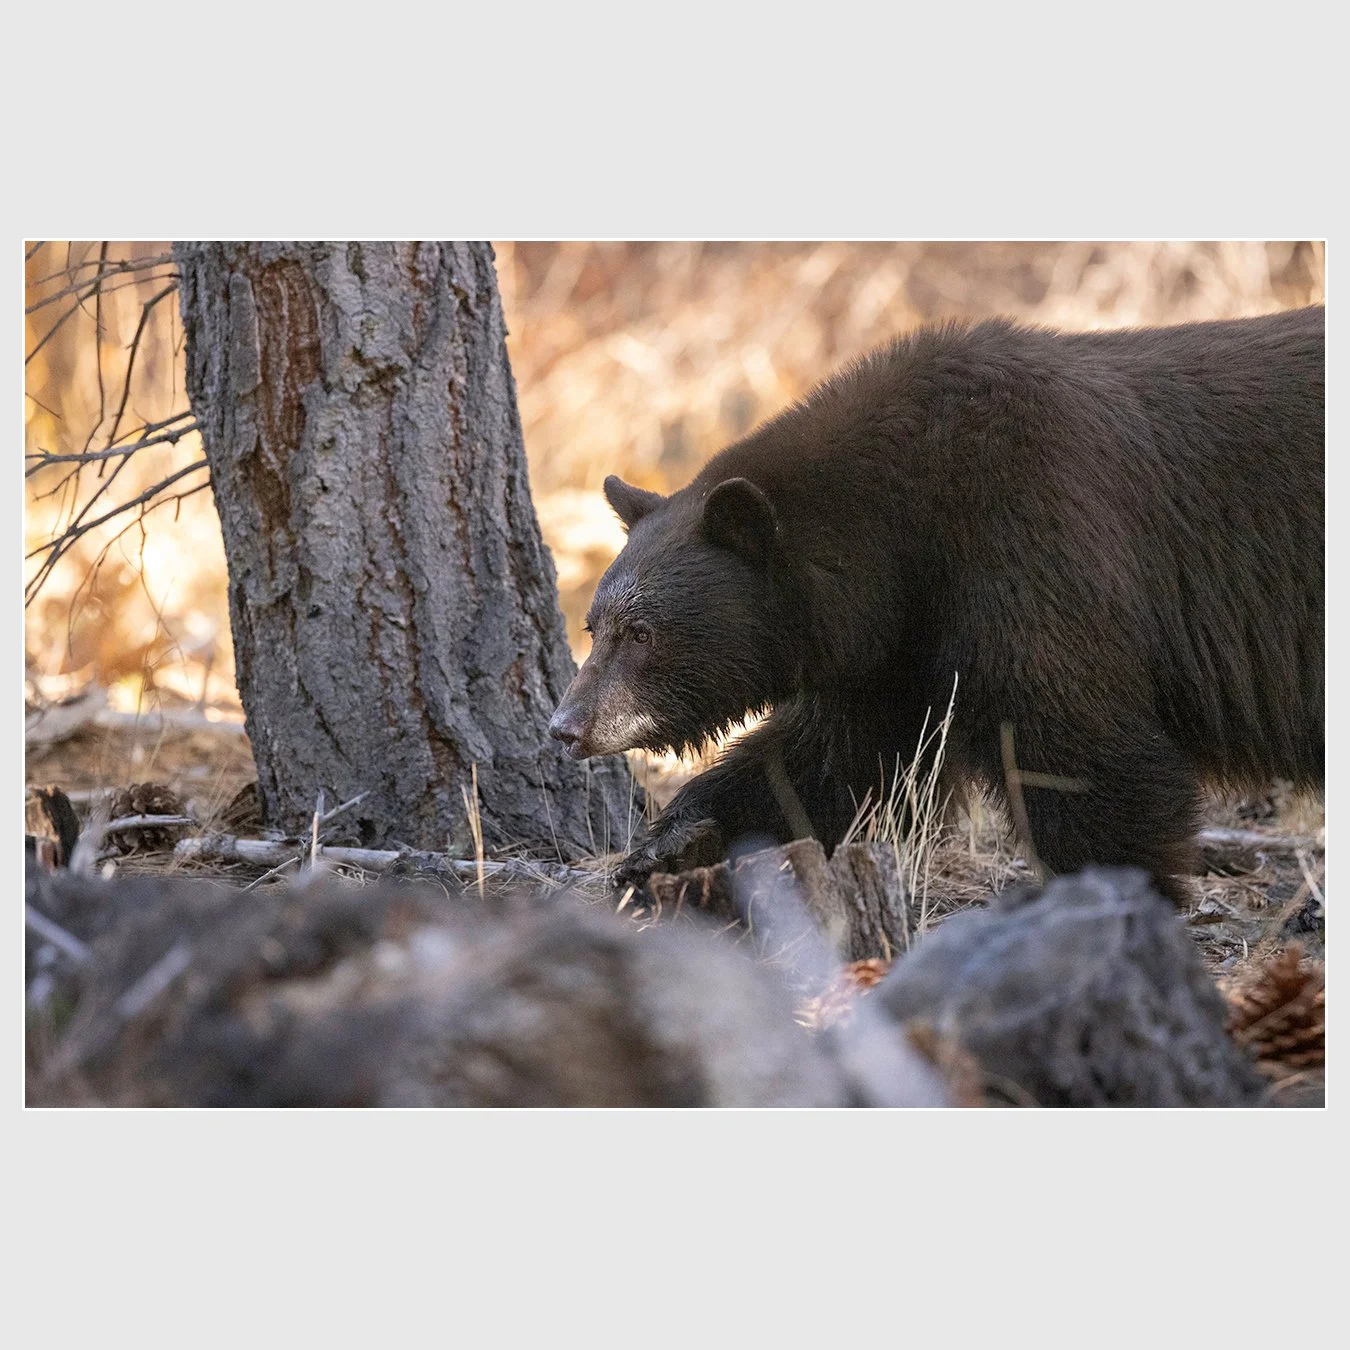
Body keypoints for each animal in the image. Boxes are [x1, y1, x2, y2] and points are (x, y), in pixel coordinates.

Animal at [548, 306, 1324, 905]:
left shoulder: (1031, 542)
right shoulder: (898, 644)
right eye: (594, 626)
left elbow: (1080, 748)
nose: (565, 727)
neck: (902, 520)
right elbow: (832, 762)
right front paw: (669, 844)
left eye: (641, 633)